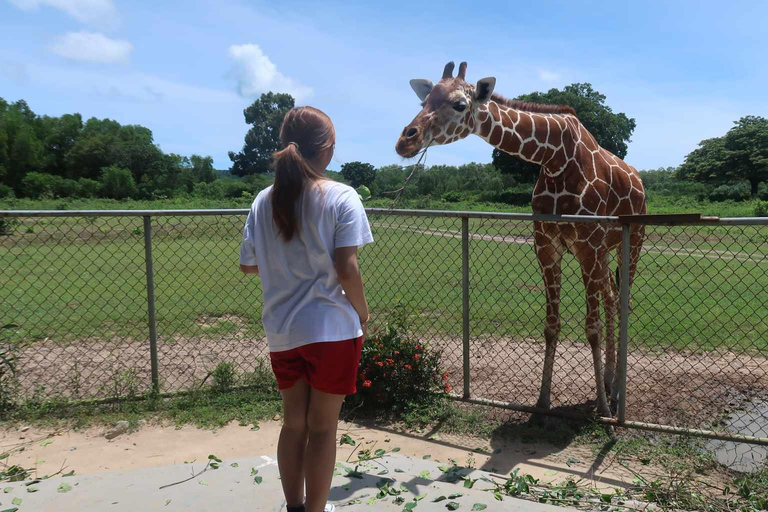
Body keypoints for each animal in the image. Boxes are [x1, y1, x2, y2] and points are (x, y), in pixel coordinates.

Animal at [396, 62, 648, 418]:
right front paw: (542, 402)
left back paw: (615, 394)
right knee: (612, 296)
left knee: (624, 300)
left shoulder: (587, 244)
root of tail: (639, 181)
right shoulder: (546, 245)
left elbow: (592, 329)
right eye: (424, 102)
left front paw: (601, 407)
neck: (555, 159)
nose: (405, 141)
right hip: (605, 250)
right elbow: (551, 325)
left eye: (459, 105)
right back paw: (611, 382)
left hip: (632, 239)